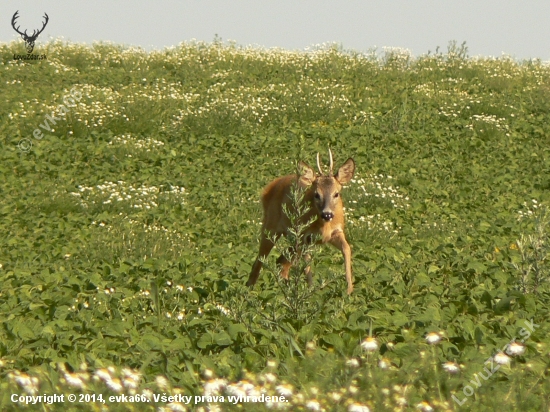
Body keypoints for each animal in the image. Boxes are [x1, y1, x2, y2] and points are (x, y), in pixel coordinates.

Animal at [247, 150, 358, 294]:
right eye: (316, 194)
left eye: (336, 194)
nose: (327, 214)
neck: (324, 227)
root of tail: (271, 185)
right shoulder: (305, 236)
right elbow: (307, 263)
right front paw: (310, 290)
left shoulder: (336, 232)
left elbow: (347, 248)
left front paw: (349, 289)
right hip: (271, 227)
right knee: (260, 260)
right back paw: (249, 289)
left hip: (292, 240)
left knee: (281, 262)